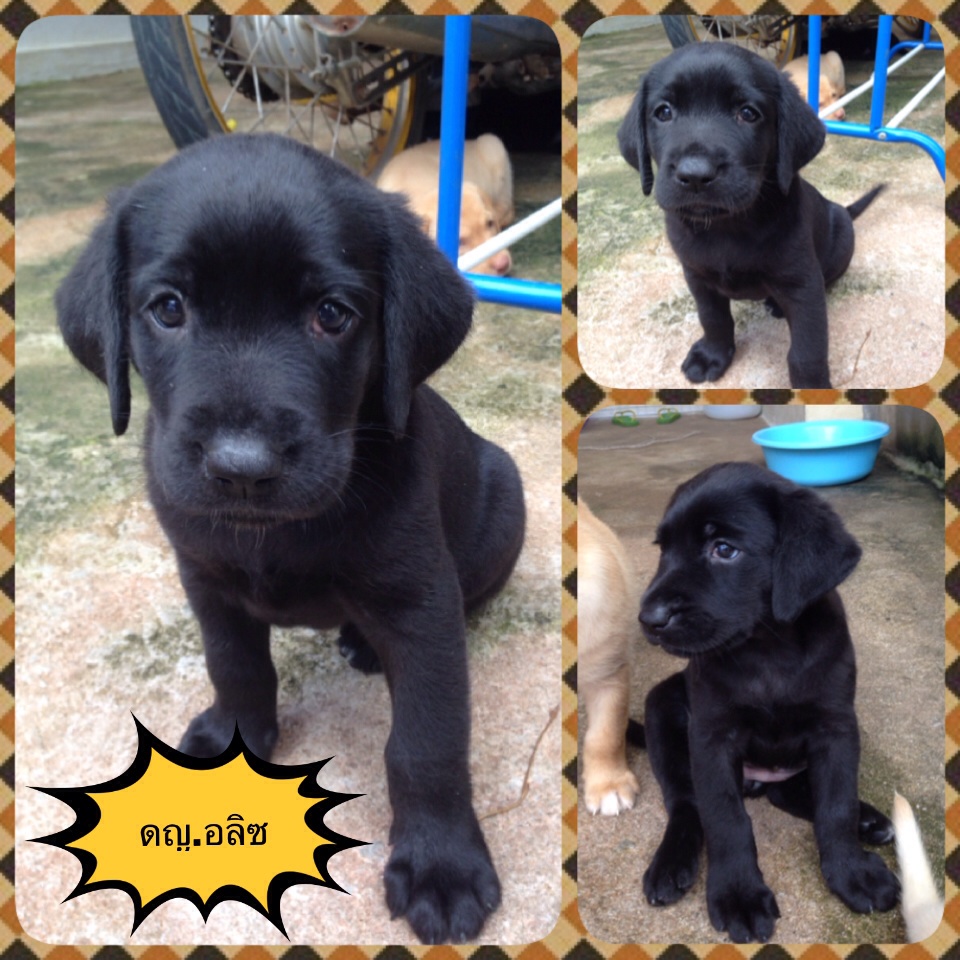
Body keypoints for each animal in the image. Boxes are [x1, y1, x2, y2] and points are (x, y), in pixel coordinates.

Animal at [617, 42, 882, 388]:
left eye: (747, 113)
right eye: (663, 112)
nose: (695, 175)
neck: (728, 226)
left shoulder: (803, 284)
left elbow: (807, 348)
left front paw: (812, 387)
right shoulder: (696, 276)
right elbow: (713, 318)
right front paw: (712, 356)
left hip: (840, 238)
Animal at [638, 462, 899, 942]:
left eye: (723, 549)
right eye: (663, 550)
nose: (649, 619)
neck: (767, 649)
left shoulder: (836, 727)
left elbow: (836, 803)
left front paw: (852, 871)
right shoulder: (711, 736)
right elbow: (725, 818)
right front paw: (739, 894)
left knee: (792, 792)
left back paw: (868, 821)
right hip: (660, 707)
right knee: (686, 805)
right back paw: (671, 862)